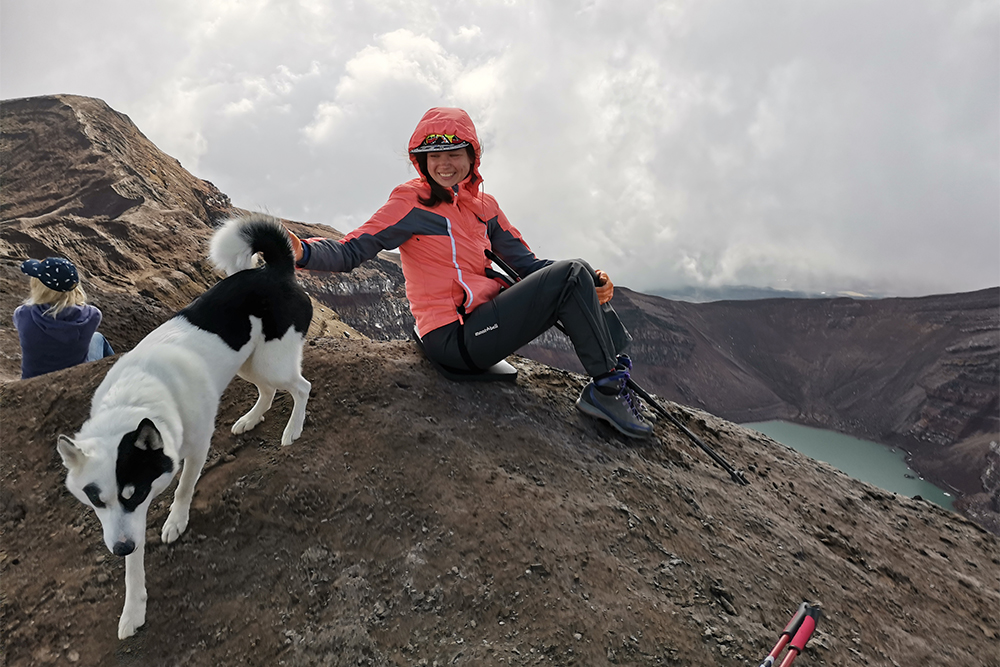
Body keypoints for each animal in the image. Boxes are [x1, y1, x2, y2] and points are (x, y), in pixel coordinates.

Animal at [55, 215, 312, 640]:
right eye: (96, 500)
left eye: (135, 491)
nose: (119, 549)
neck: (136, 398)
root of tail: (275, 271)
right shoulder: (126, 522)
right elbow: (133, 564)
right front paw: (132, 610)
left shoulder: (192, 451)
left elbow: (184, 489)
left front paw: (176, 521)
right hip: (248, 362)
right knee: (269, 390)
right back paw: (250, 418)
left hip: (272, 359)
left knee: (300, 387)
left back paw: (292, 431)